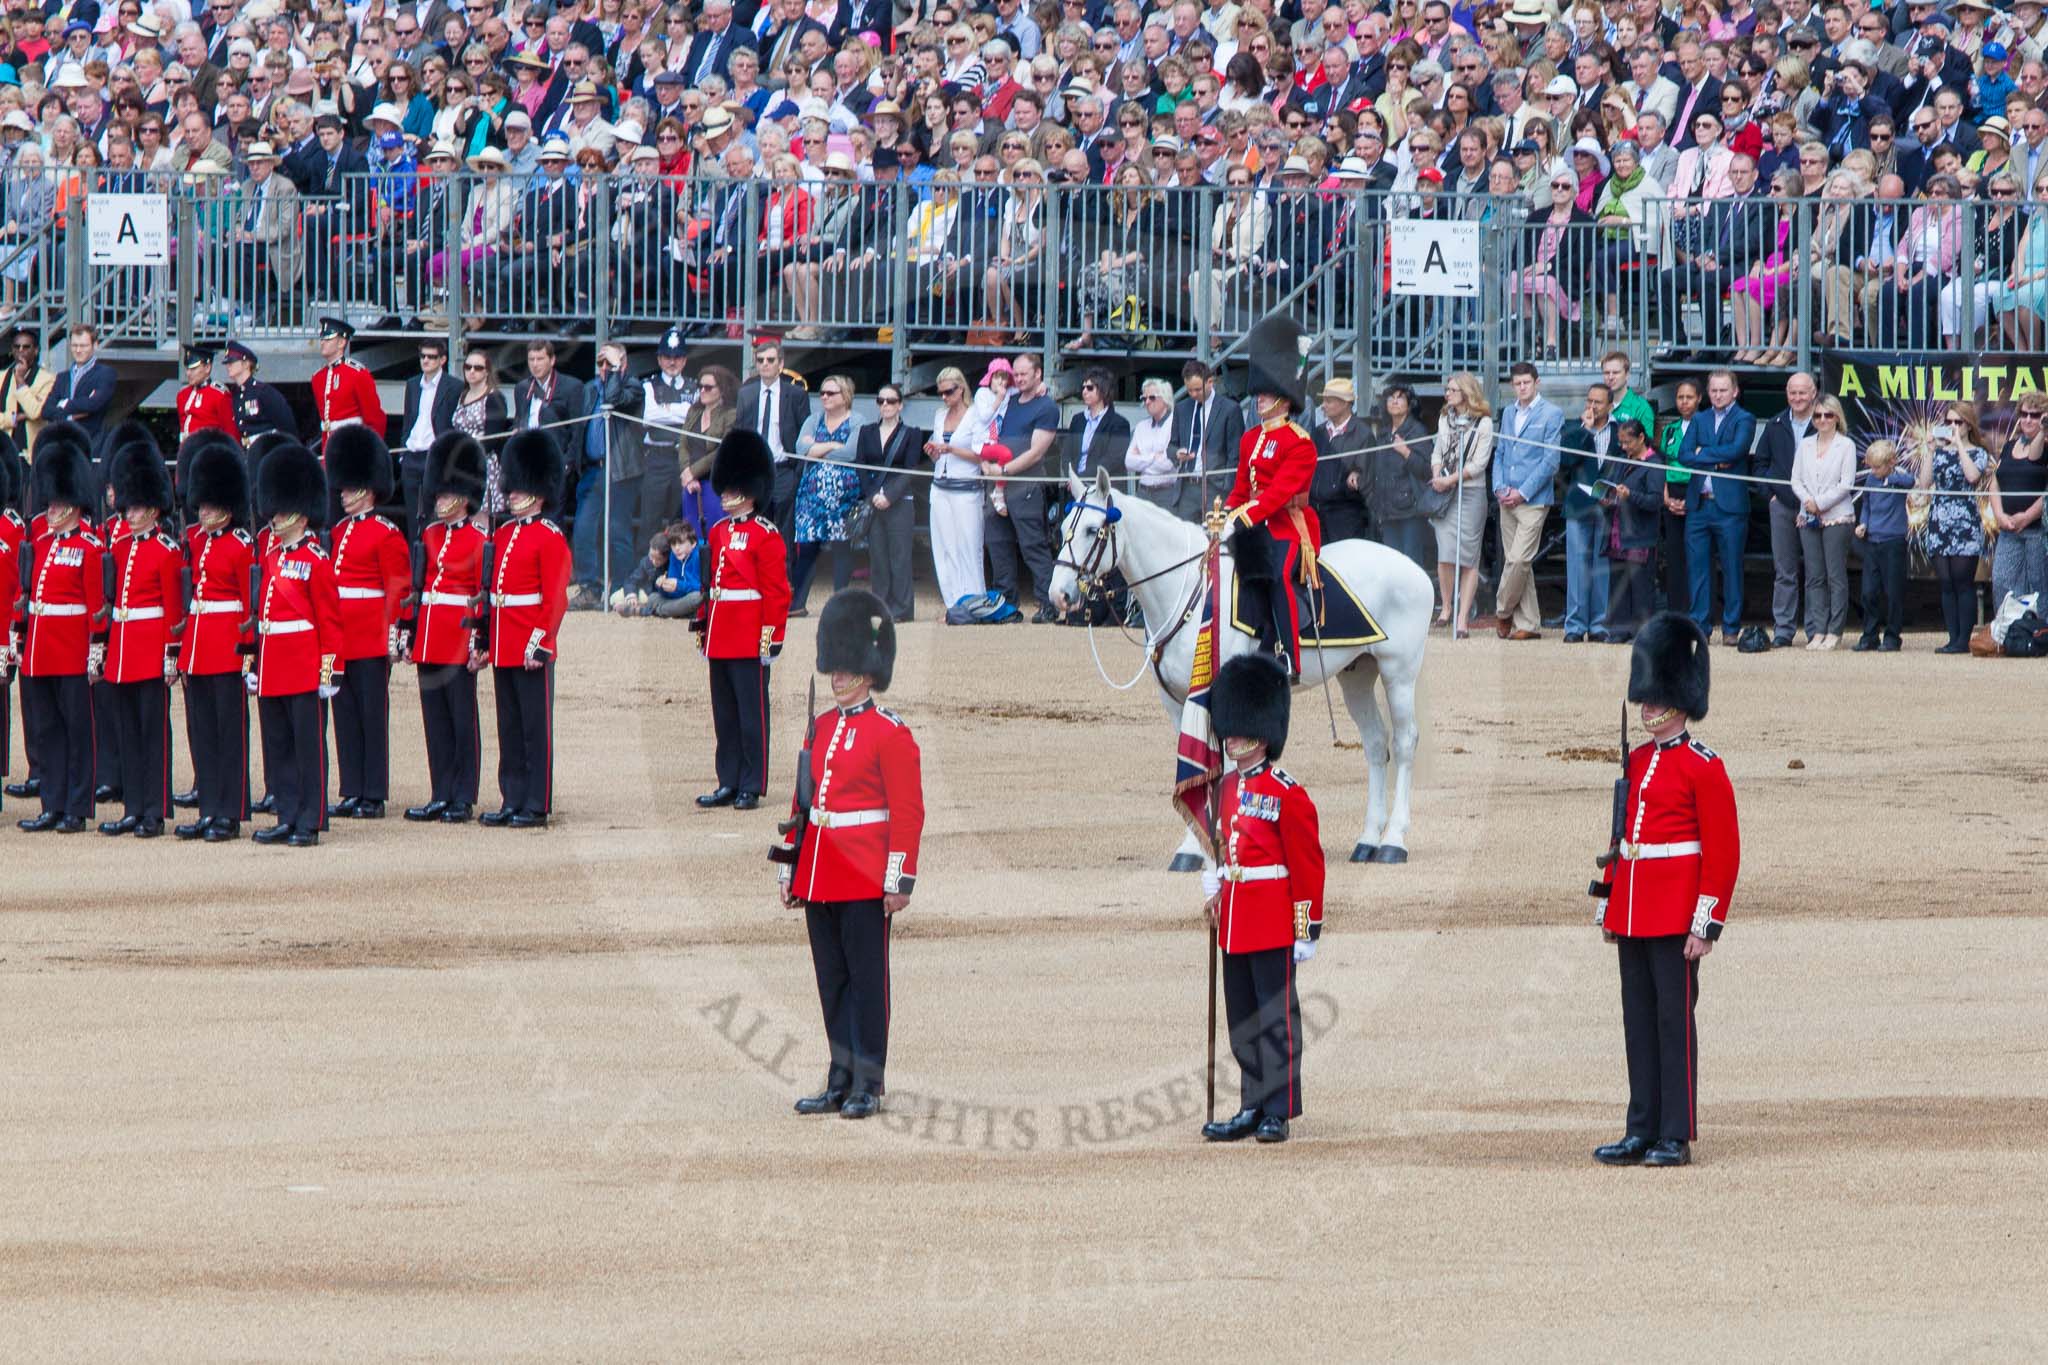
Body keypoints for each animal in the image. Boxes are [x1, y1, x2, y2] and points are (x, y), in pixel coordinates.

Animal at [1048, 470, 1433, 871]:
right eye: (1063, 528)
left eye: (1092, 529)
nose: (1059, 595)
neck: (1190, 591)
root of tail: (1414, 569)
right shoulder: (1178, 701)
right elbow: (1191, 762)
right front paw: (1192, 847)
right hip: (1357, 674)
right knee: (1374, 743)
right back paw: (1368, 840)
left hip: (1398, 673)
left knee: (1404, 743)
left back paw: (1393, 841)